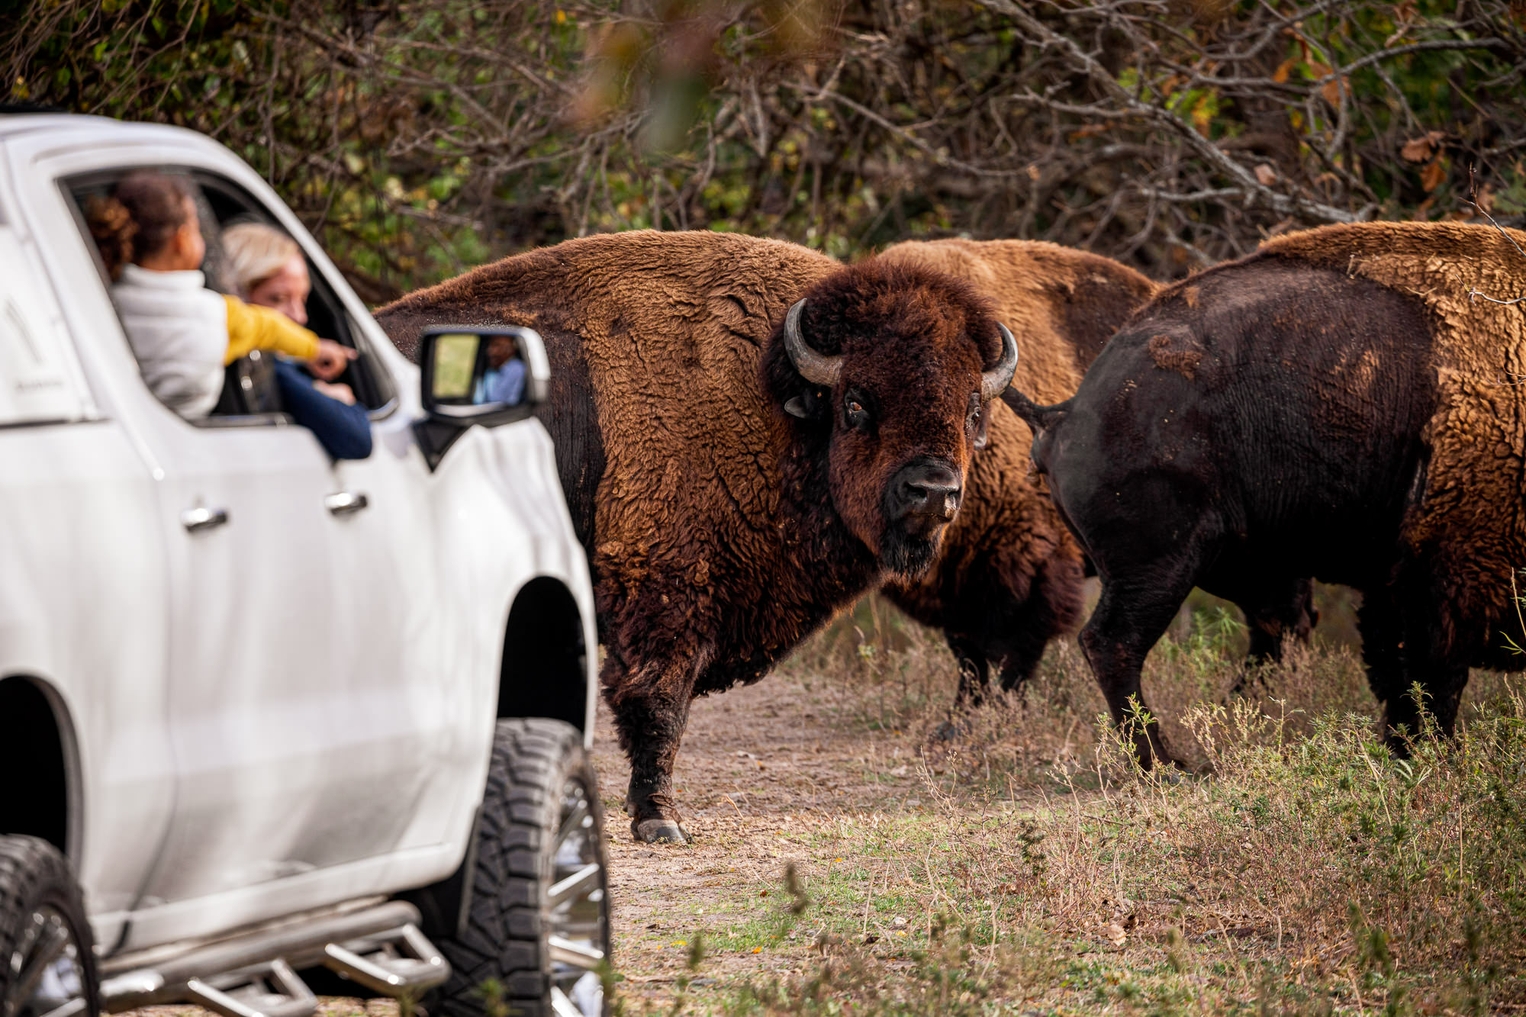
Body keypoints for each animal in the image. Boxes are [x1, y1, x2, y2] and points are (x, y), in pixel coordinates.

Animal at [373, 232, 1013, 836]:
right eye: (856, 402)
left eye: (969, 408)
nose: (933, 491)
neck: (773, 393)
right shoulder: (667, 595)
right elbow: (659, 705)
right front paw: (659, 819)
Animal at [1007, 219, 1519, 760]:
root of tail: (1065, 414)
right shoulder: (1447, 581)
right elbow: (1430, 682)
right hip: (1163, 564)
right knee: (1113, 643)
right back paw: (1170, 764)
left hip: (1244, 562)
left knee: (1273, 632)